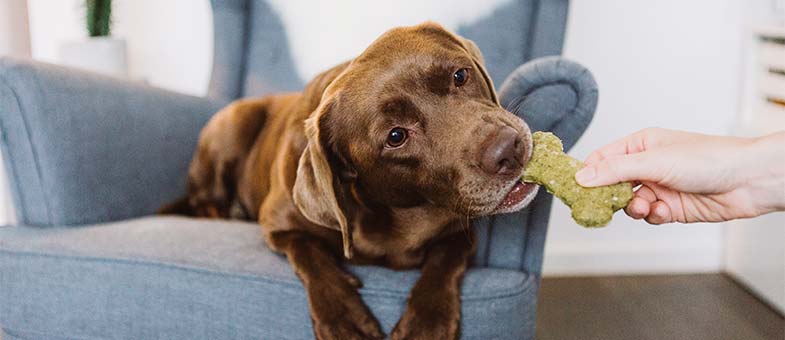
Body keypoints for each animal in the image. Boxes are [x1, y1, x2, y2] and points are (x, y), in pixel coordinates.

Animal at [159, 22, 540, 338]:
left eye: (460, 75)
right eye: (396, 136)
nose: (508, 148)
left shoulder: (458, 231)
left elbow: (446, 257)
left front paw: (426, 321)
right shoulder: (278, 224)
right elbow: (308, 251)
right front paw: (344, 316)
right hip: (234, 121)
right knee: (206, 200)